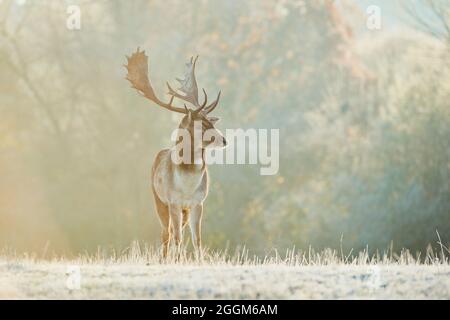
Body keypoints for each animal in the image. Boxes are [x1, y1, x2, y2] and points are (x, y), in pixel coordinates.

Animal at [125, 48, 227, 260]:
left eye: (211, 122)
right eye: (202, 124)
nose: (224, 140)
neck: (187, 186)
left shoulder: (198, 203)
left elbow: (197, 240)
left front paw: (199, 262)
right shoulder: (172, 201)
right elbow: (178, 237)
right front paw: (178, 260)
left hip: (184, 210)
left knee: (174, 232)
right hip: (158, 199)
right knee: (167, 233)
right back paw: (165, 258)